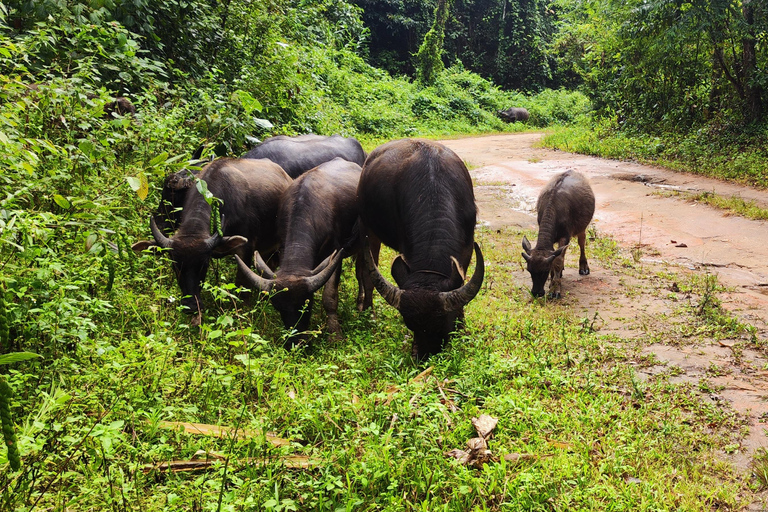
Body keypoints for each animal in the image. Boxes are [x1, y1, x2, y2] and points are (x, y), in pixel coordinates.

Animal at [234, 158, 368, 346]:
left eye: (306, 304)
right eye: (278, 307)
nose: (296, 342)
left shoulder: (336, 253)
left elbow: (329, 296)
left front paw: (335, 334)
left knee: (362, 270)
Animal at [356, 139, 484, 360]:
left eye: (442, 323)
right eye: (410, 324)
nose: (423, 355)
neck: (433, 190)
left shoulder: (467, 246)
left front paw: (462, 325)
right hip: (368, 227)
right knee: (366, 270)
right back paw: (368, 310)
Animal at [520, 171, 592, 300]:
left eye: (545, 270)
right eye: (529, 270)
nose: (536, 292)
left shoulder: (565, 236)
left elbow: (557, 261)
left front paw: (555, 289)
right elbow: (555, 257)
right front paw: (553, 279)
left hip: (582, 227)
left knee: (582, 242)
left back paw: (583, 267)